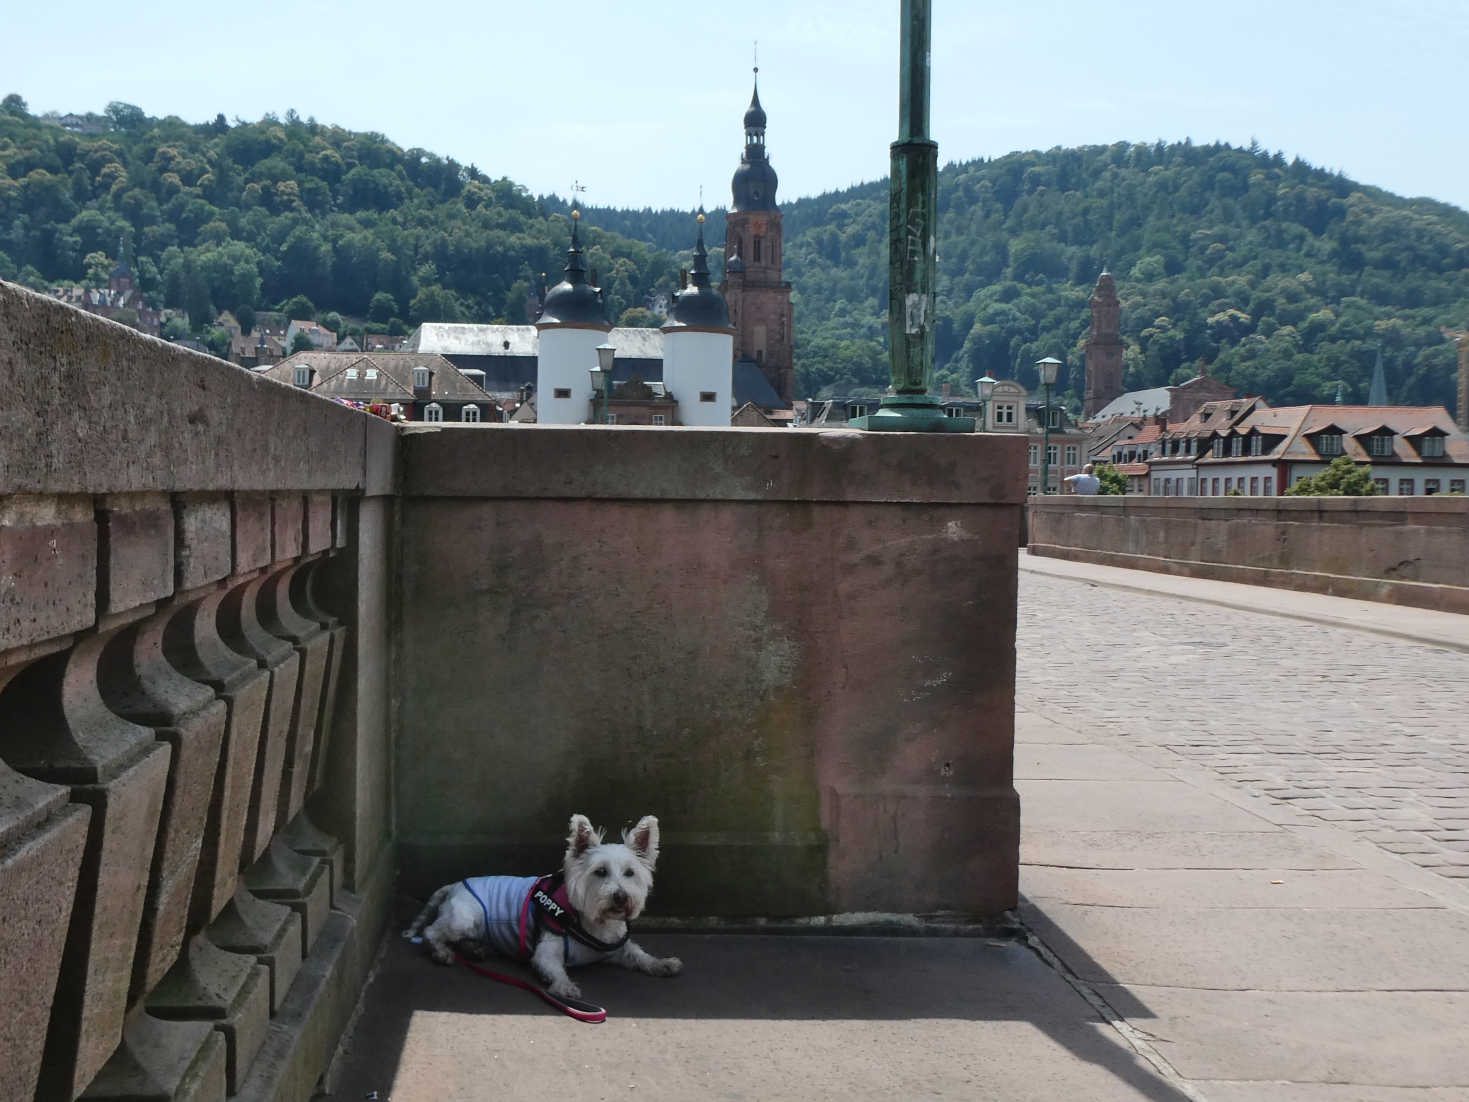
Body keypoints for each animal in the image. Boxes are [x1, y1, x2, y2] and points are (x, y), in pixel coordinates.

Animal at [402, 811, 675, 999]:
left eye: (630, 873)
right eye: (600, 872)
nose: (620, 896)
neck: (591, 921)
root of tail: (455, 885)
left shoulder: (615, 947)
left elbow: (638, 954)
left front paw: (661, 963)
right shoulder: (546, 950)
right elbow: (553, 967)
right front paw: (565, 986)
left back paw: (476, 948)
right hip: (465, 918)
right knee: (432, 932)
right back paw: (441, 952)